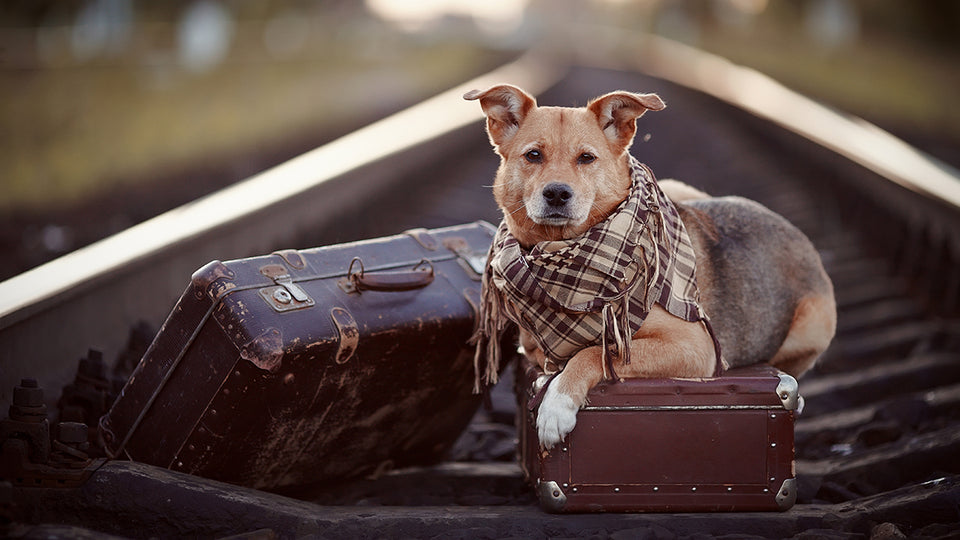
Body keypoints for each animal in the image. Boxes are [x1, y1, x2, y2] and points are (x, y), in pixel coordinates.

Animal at [464, 84, 832, 448]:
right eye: (533, 155)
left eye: (586, 158)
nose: (556, 193)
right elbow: (563, 352)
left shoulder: (695, 346)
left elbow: (596, 352)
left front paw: (557, 405)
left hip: (815, 324)